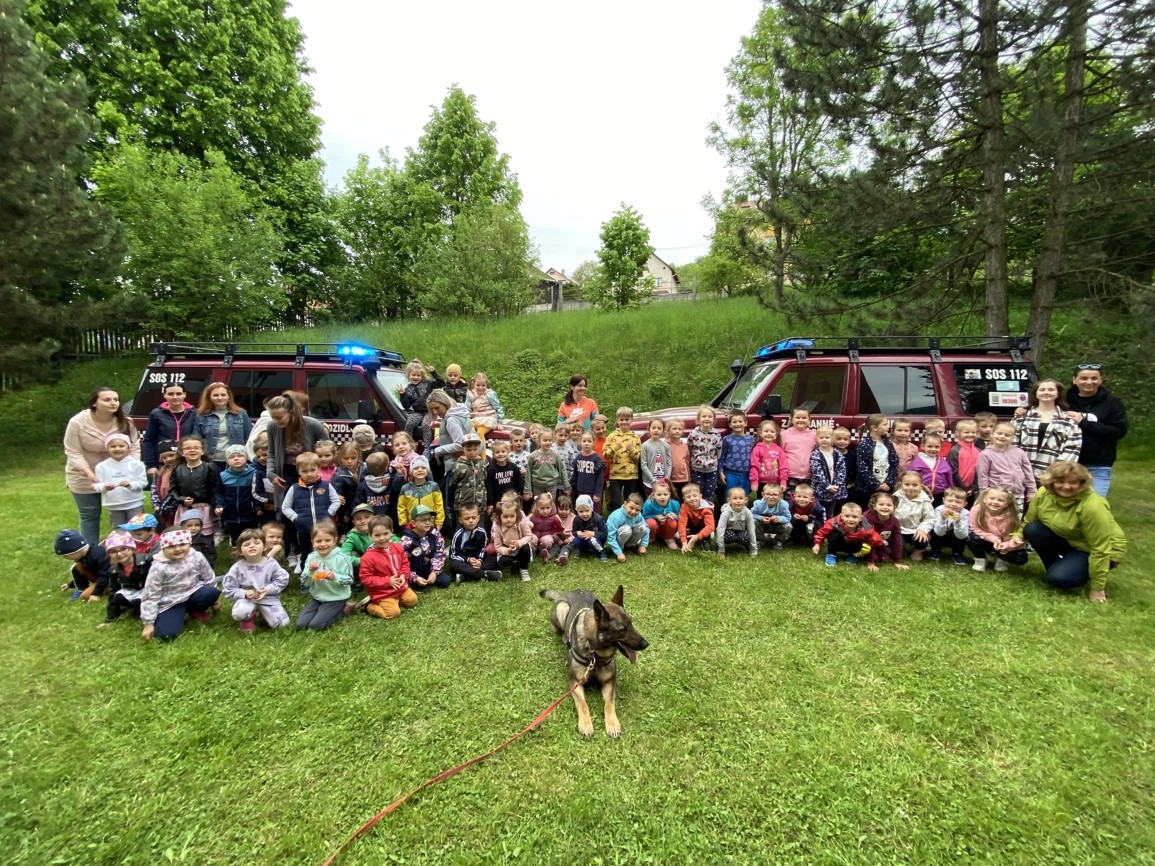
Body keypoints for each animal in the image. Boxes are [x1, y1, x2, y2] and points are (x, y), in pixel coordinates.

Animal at [540, 585, 648, 738]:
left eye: (631, 623)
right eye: (622, 629)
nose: (646, 644)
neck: (595, 655)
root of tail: (567, 593)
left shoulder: (609, 681)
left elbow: (609, 704)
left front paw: (612, 724)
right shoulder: (575, 682)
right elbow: (583, 704)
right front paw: (586, 724)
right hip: (562, 608)